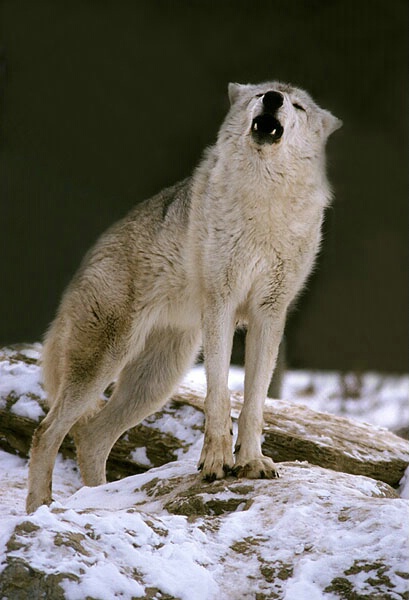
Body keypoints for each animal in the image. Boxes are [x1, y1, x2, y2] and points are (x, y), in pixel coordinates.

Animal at [26, 78, 342, 510]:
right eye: (259, 95)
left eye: (298, 106)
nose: (274, 99)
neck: (264, 207)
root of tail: (89, 257)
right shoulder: (221, 304)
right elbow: (219, 397)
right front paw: (216, 463)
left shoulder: (269, 314)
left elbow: (254, 405)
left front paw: (251, 462)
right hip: (107, 363)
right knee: (47, 432)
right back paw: (41, 508)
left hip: (156, 381)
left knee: (89, 437)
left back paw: (94, 501)